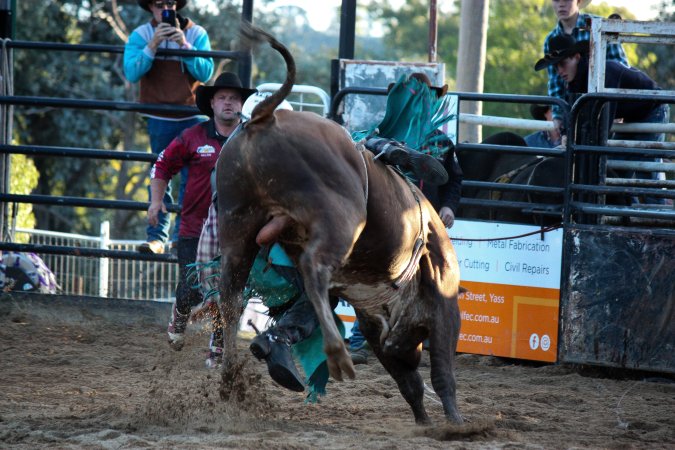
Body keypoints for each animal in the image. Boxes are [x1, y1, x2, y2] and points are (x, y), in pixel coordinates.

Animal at [215, 22, 462, 424]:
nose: (403, 348)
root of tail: (265, 116)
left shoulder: (378, 331)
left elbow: (410, 384)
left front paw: (426, 422)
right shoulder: (442, 307)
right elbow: (441, 374)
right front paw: (455, 424)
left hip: (237, 224)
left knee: (231, 298)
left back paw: (230, 378)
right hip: (343, 219)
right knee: (313, 270)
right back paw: (336, 354)